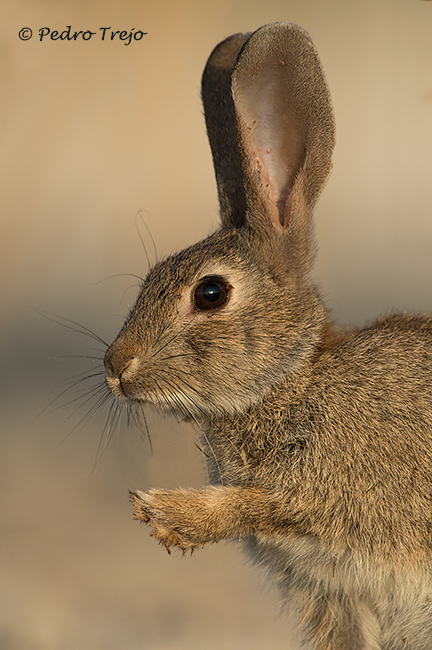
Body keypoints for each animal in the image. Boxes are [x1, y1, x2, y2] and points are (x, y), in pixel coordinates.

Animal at [103, 21, 432, 648]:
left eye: (210, 293)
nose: (115, 367)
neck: (293, 381)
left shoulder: (333, 501)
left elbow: (262, 504)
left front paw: (167, 514)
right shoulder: (331, 596)